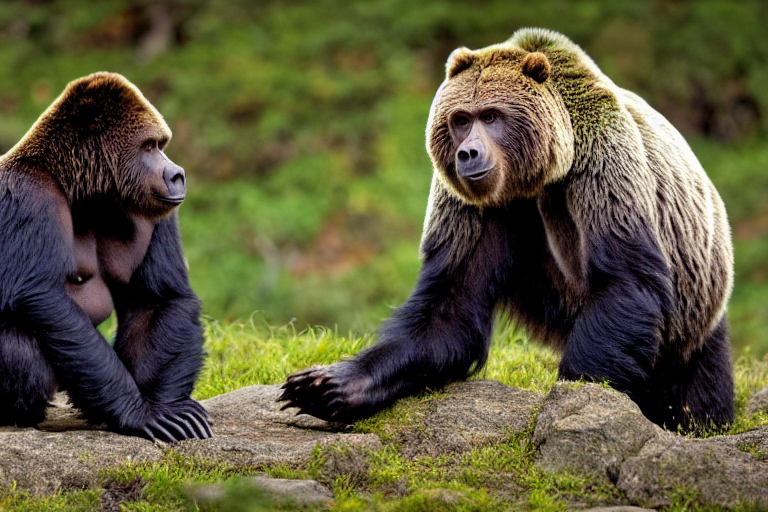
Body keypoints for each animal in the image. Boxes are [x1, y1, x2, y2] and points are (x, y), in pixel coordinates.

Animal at [0, 72, 211, 442]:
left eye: (161, 144)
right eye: (149, 146)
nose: (177, 175)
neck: (80, 186)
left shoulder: (152, 208)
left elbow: (160, 299)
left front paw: (165, 404)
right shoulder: (28, 194)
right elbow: (42, 298)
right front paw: (137, 411)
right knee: (18, 346)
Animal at [279, 28, 735, 433]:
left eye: (492, 115)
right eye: (460, 118)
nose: (468, 153)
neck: (536, 178)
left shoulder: (601, 170)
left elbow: (623, 281)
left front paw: (573, 403)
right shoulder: (480, 210)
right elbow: (449, 305)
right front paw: (323, 385)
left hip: (694, 304)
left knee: (697, 385)